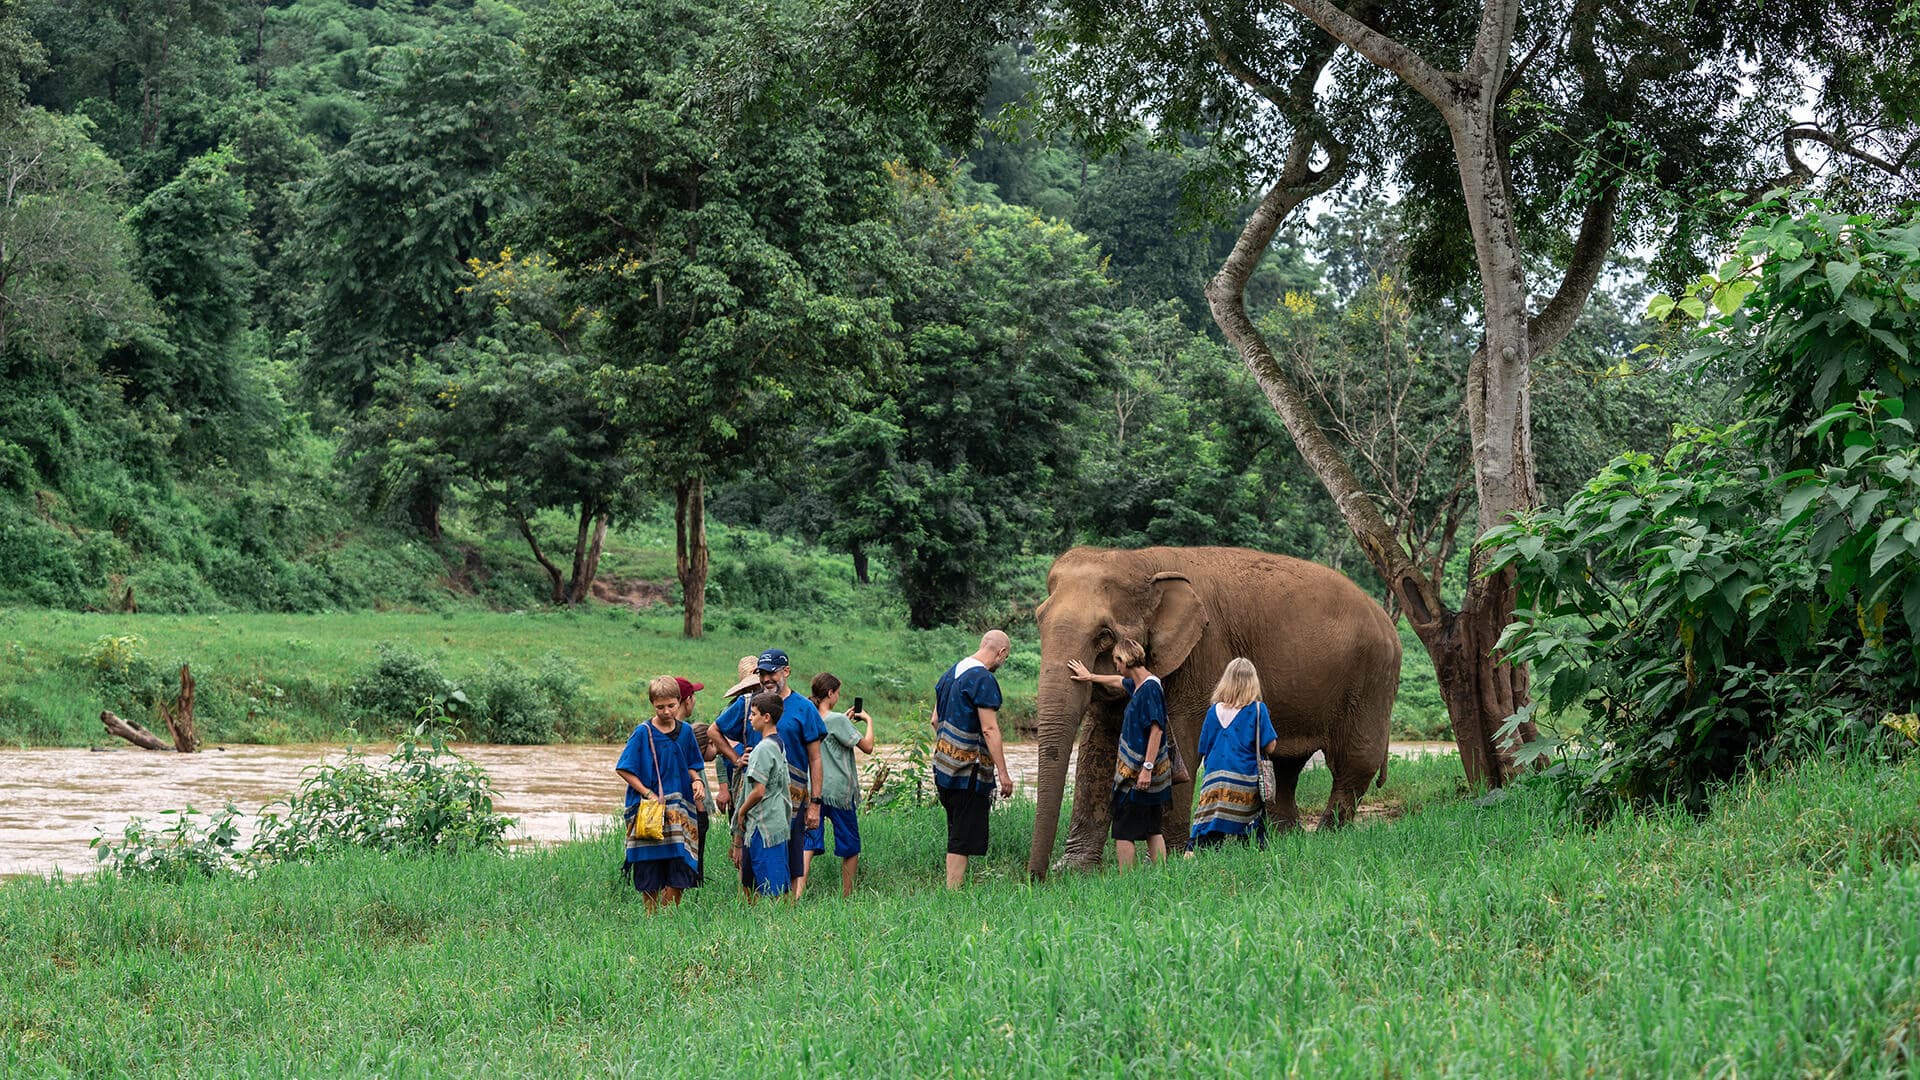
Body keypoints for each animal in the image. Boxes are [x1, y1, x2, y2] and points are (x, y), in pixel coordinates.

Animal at [1028, 545, 1402, 878]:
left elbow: (1182, 738)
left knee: (1354, 763)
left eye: (1104, 635)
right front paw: (1073, 869)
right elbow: (1097, 744)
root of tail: (1388, 620)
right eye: (1038, 622)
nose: (1036, 878)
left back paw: (1327, 835)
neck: (1142, 561)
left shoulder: (1203, 651)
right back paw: (1287, 838)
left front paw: (1167, 861)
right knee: (1286, 763)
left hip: (1371, 681)